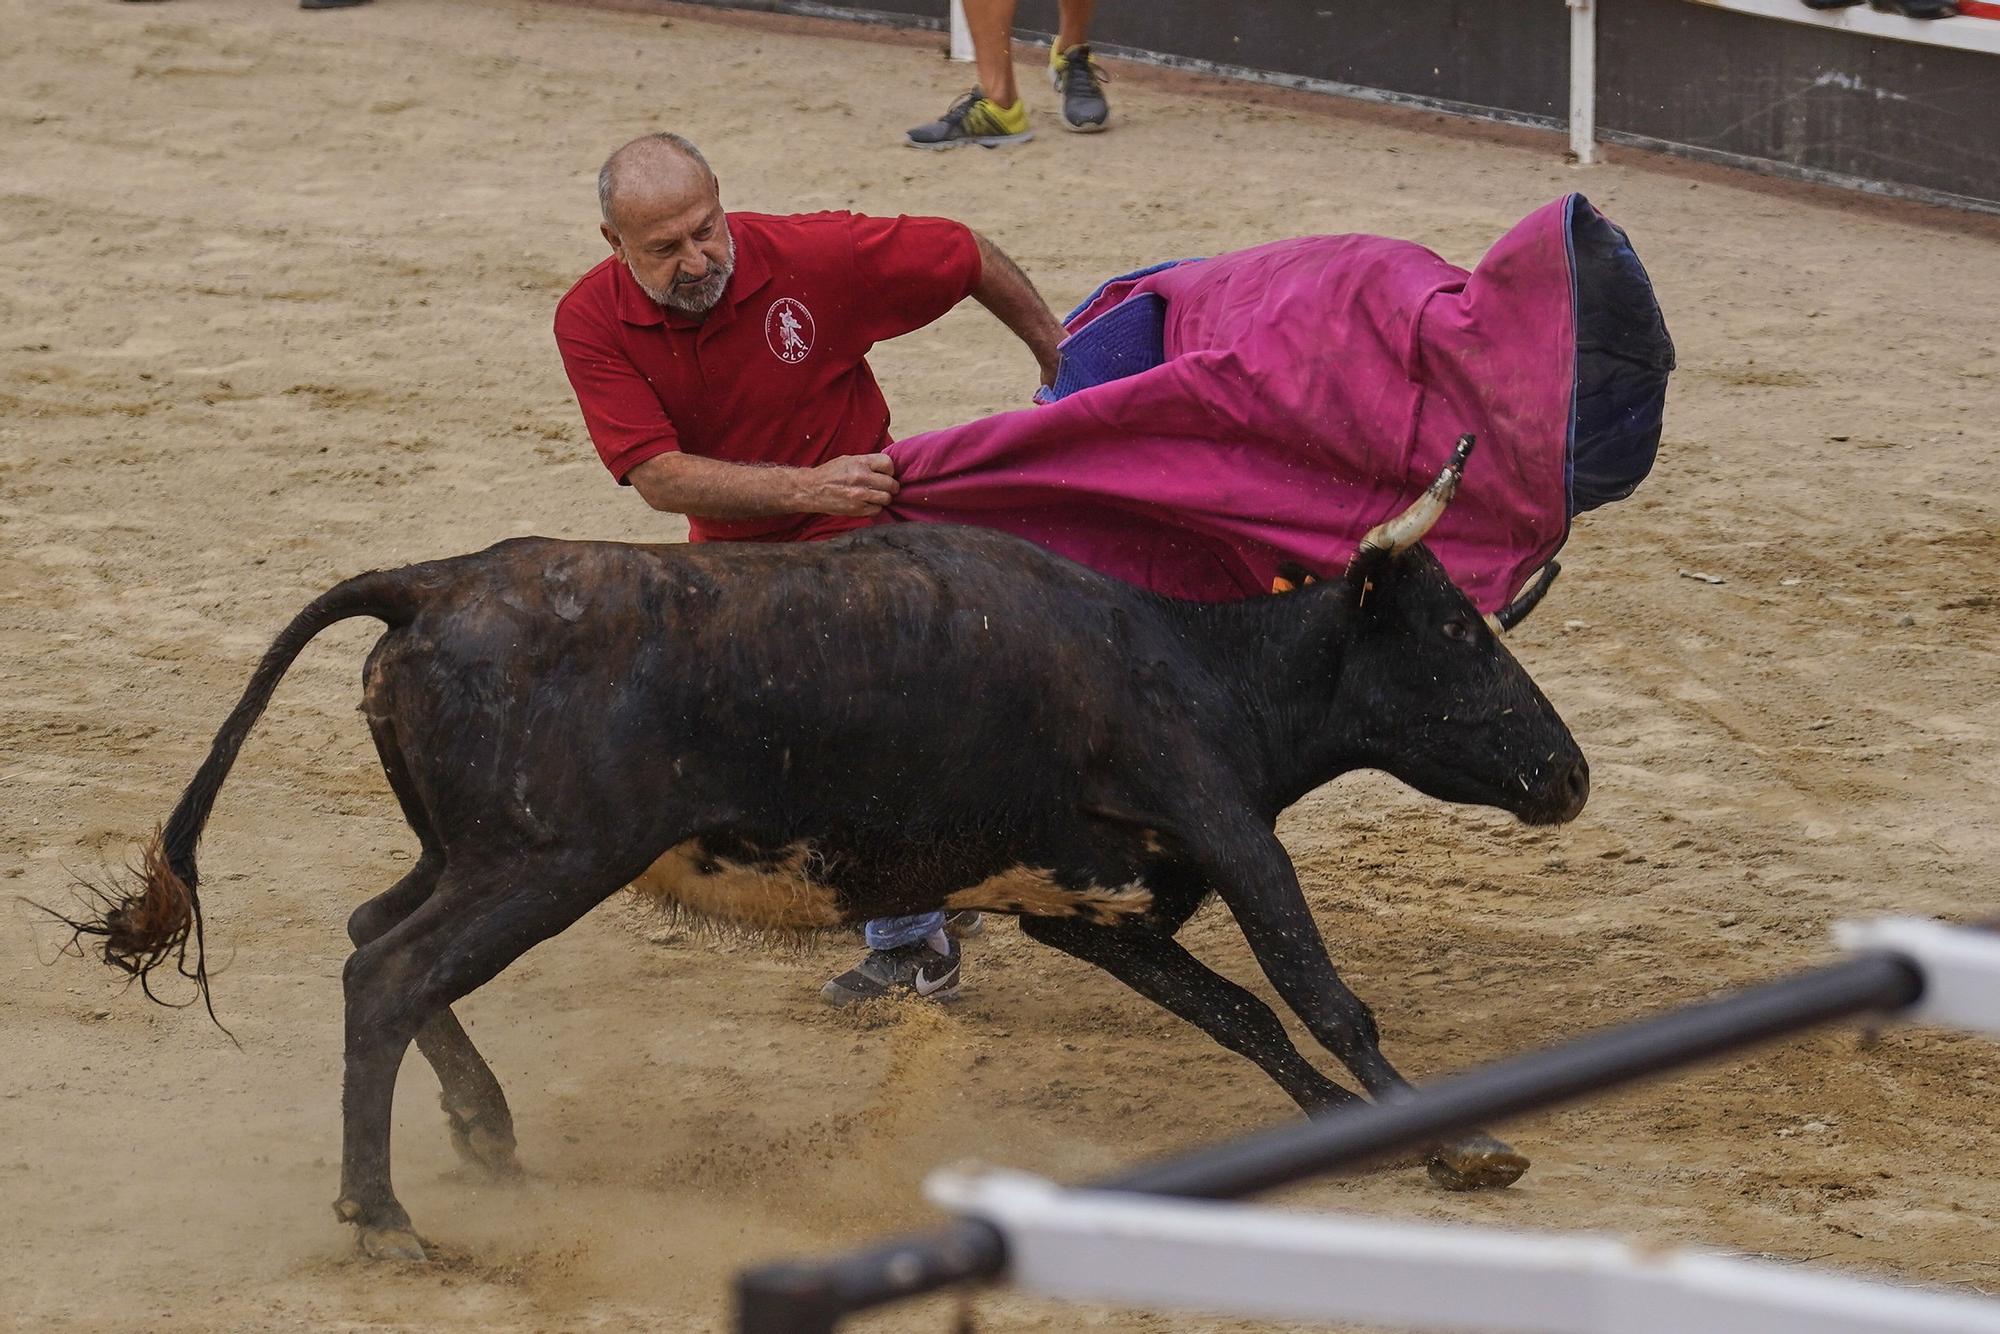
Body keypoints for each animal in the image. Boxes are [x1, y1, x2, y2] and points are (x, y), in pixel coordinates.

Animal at [70, 512, 1584, 1264]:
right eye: (1459, 633)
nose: (1566, 772)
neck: (1187, 656)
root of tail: (433, 583)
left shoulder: (1077, 907)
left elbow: (1244, 1013)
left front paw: (1352, 1132)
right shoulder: (1223, 823)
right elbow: (1321, 991)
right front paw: (1461, 1140)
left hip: (478, 852)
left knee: (375, 934)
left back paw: (483, 1129)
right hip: (540, 862)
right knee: (384, 970)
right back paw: (382, 1218)